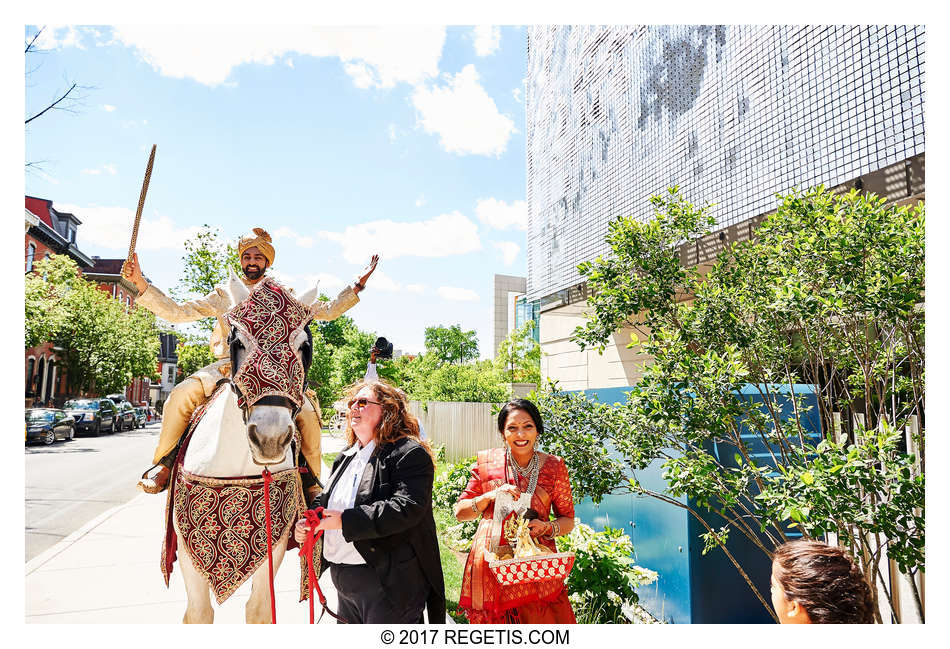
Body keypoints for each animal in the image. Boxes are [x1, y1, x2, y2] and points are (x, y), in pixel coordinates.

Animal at [169, 270, 322, 624]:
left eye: (304, 346)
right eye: (237, 342)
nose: (270, 438)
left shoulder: (274, 543)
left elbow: (260, 609)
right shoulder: (185, 548)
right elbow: (198, 613)